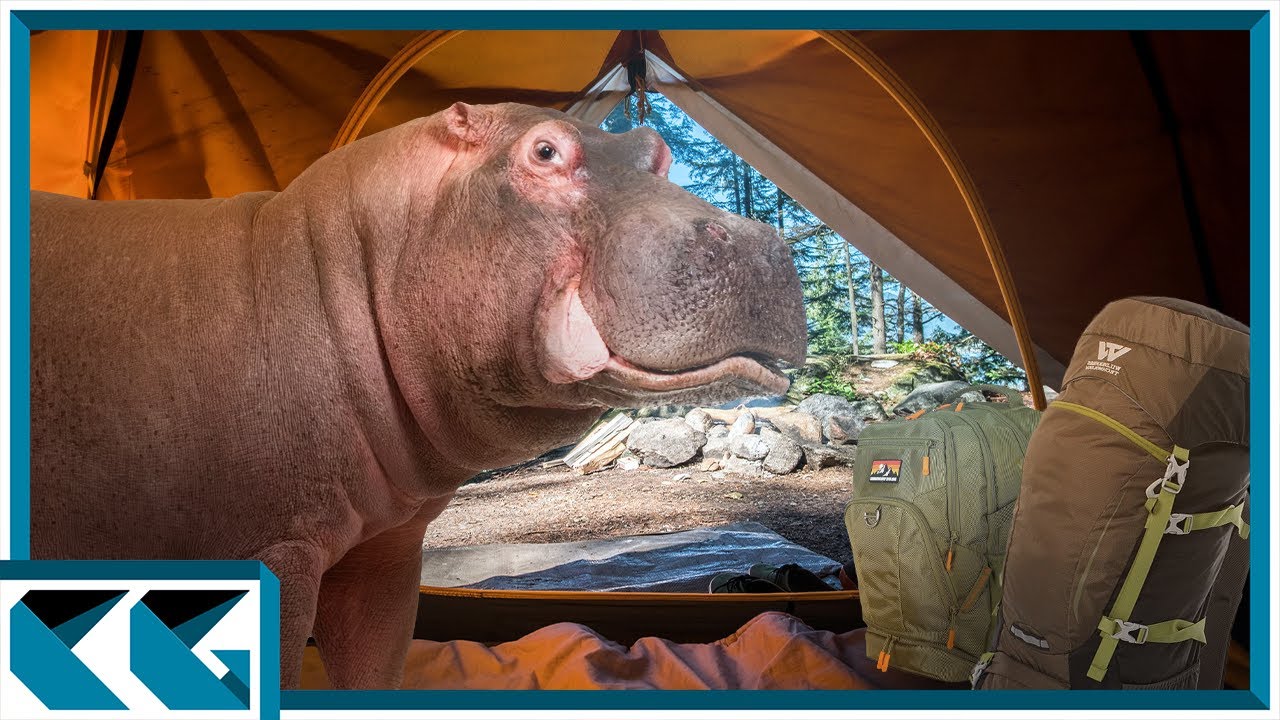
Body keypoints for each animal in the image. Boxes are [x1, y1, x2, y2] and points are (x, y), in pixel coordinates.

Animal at [29, 102, 806, 689]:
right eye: (545, 151)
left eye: (656, 149)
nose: (763, 241)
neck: (332, 264)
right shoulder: (271, 551)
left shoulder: (386, 555)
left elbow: (374, 664)